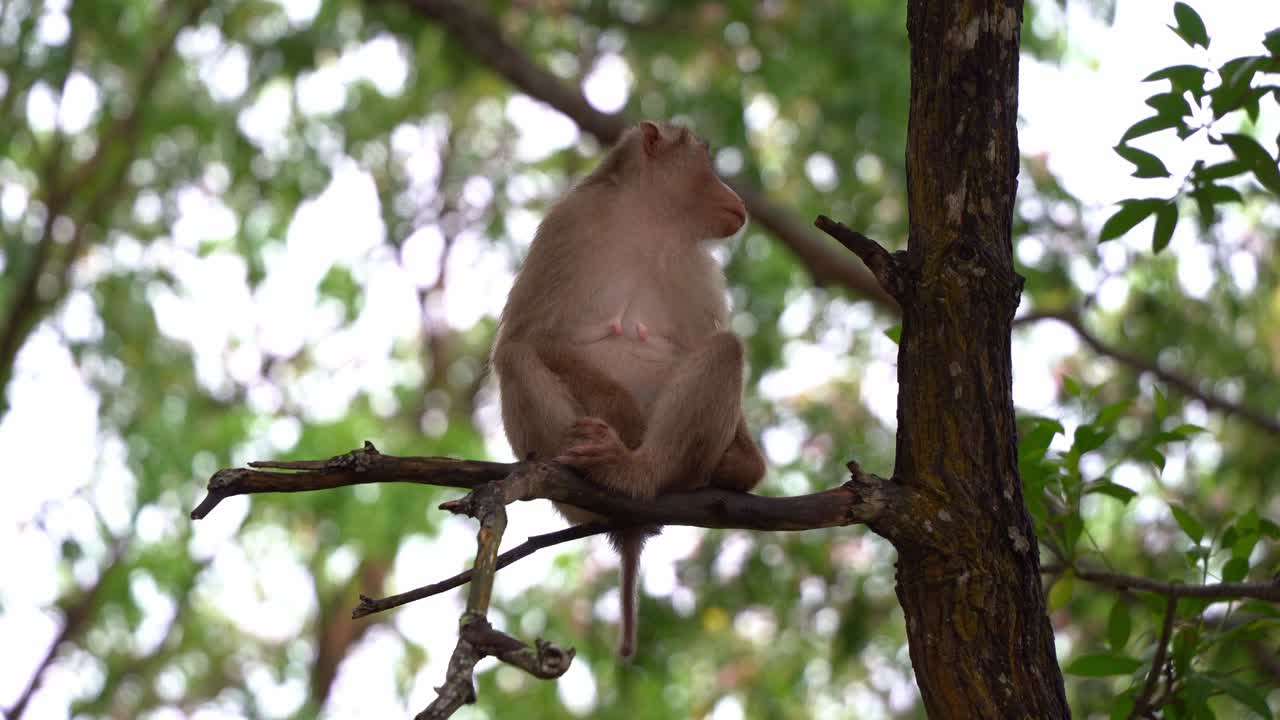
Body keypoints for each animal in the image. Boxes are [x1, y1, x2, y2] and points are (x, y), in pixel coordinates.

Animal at [491, 120, 765, 659]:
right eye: (706, 161)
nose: (735, 195)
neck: (646, 220)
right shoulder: (569, 223)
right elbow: (527, 337)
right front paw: (624, 416)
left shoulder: (694, 264)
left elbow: (698, 343)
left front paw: (744, 463)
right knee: (517, 359)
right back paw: (596, 470)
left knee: (724, 350)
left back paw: (645, 471)